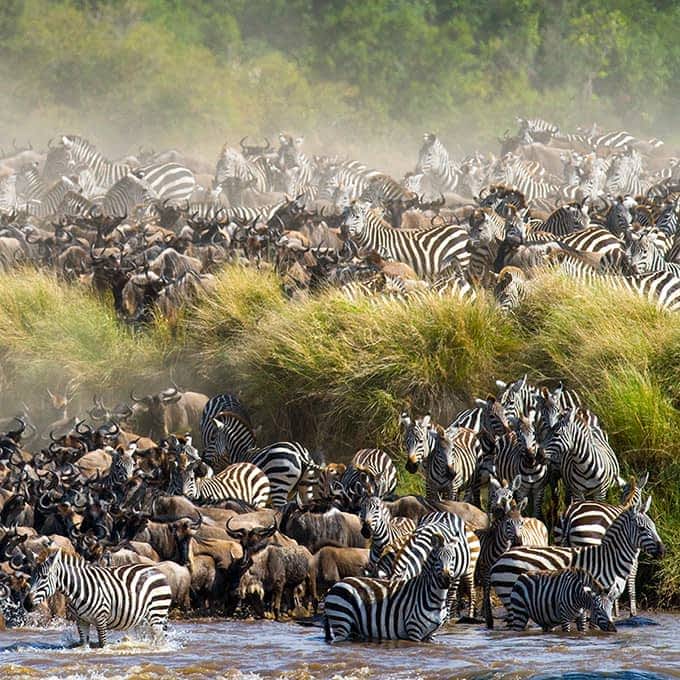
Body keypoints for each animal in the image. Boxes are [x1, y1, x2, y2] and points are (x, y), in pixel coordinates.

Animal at [26, 548, 170, 648]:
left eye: (44, 577)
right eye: (31, 577)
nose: (26, 603)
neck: (79, 589)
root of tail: (157, 569)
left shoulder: (101, 619)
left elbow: (102, 644)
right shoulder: (81, 621)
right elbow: (84, 644)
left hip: (157, 613)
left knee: (159, 639)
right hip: (142, 619)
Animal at [322, 532, 462, 640]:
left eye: (453, 558)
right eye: (437, 559)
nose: (446, 579)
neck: (436, 597)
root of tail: (334, 586)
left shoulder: (430, 635)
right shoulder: (413, 630)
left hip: (353, 627)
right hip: (341, 621)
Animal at [342, 199, 470, 278]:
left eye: (357, 217)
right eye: (344, 216)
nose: (343, 230)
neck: (378, 239)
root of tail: (461, 228)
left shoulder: (390, 262)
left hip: (462, 260)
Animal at [552, 472, 648, 616]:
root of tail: (569, 515)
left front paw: (615, 609)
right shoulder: (631, 552)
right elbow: (631, 577)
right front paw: (632, 611)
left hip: (563, 545)